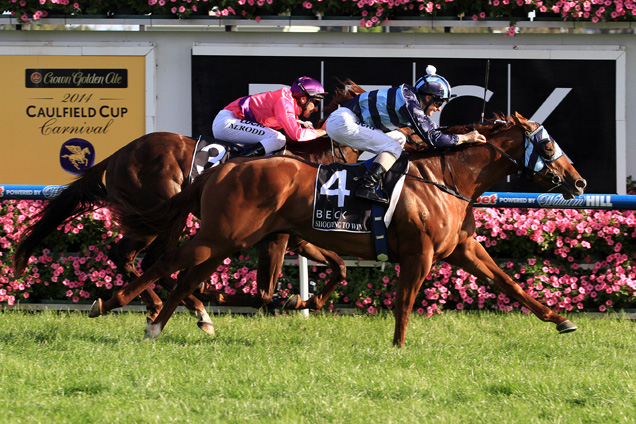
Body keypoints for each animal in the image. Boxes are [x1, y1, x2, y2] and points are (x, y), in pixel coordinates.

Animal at [88, 112, 588, 344]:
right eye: (547, 144)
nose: (579, 181)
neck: (446, 177)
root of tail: (223, 168)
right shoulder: (420, 253)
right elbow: (404, 300)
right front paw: (398, 346)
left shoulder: (462, 248)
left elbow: (510, 283)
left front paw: (562, 320)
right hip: (221, 235)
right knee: (165, 262)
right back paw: (116, 306)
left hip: (229, 239)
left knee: (184, 274)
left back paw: (170, 321)